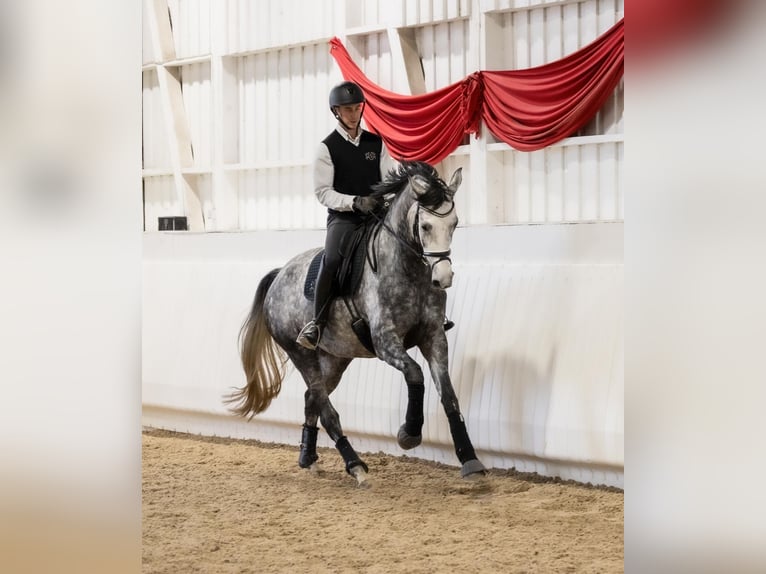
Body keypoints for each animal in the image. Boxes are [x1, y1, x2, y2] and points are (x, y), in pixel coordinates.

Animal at [225, 161, 486, 486]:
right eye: (425, 226)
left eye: (454, 224)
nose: (444, 278)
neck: (406, 268)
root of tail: (278, 276)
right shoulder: (386, 343)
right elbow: (415, 374)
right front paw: (409, 433)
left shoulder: (434, 336)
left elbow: (449, 396)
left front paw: (470, 460)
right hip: (300, 353)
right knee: (326, 409)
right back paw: (356, 466)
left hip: (336, 358)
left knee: (312, 398)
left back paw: (308, 458)